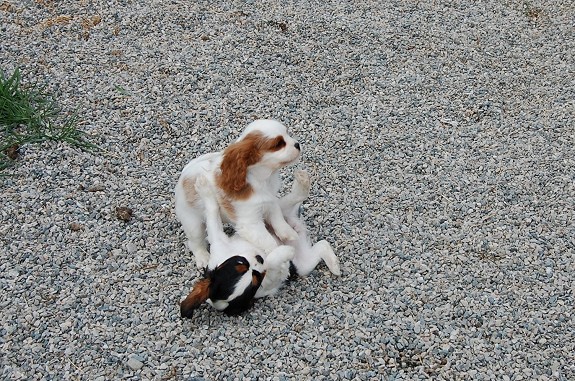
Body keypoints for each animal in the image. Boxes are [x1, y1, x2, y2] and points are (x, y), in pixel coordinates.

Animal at [176, 119, 302, 268]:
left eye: (287, 133)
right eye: (278, 144)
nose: (297, 144)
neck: (262, 179)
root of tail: (184, 174)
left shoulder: (270, 201)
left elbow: (278, 219)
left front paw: (288, 233)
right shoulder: (250, 223)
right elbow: (268, 241)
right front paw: (281, 254)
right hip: (192, 222)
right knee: (195, 242)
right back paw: (202, 256)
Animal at [181, 171, 342, 316]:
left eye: (240, 262)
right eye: (255, 280)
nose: (259, 258)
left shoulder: (218, 240)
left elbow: (212, 213)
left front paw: (203, 187)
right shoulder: (269, 281)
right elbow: (272, 263)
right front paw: (284, 253)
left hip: (269, 213)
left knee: (282, 203)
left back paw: (302, 181)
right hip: (303, 264)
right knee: (322, 245)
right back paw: (335, 265)